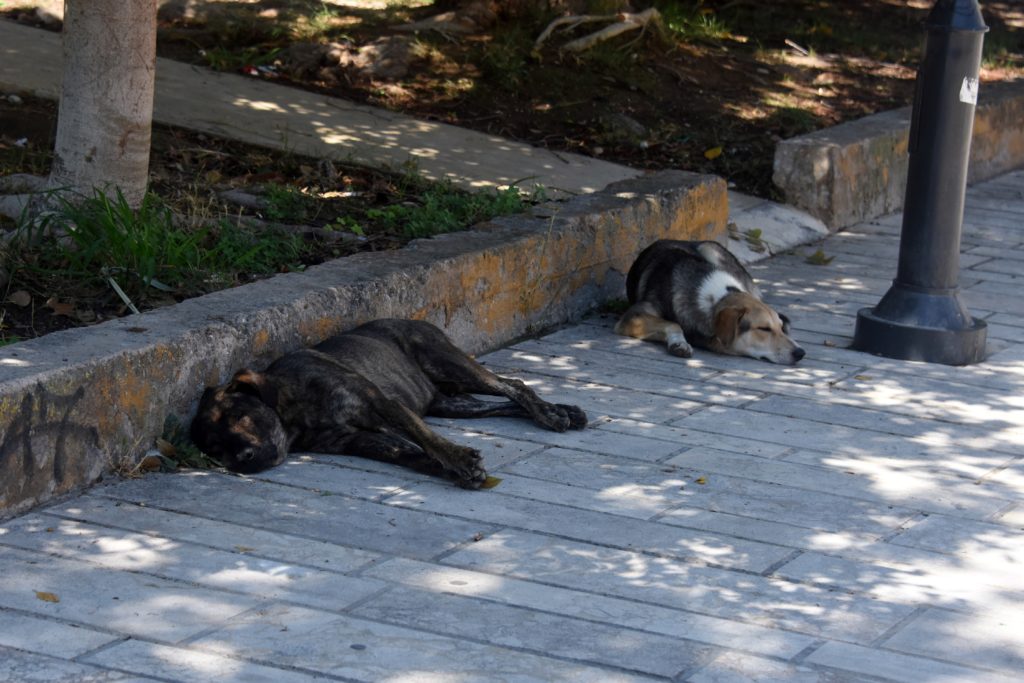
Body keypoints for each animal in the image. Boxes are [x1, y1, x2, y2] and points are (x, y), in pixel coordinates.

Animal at [192, 319, 589, 485]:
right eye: (213, 449)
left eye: (239, 415)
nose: (240, 460)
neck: (293, 412)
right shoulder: (362, 440)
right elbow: (411, 453)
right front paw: (455, 470)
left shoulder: (383, 406)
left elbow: (430, 441)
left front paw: (460, 459)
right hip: (450, 403)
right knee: (501, 402)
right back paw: (566, 411)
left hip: (448, 363)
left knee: (513, 385)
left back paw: (550, 413)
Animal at [610, 241, 802, 366]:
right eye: (764, 329)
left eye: (780, 328)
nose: (801, 353)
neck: (716, 298)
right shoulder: (633, 316)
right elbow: (672, 324)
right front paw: (679, 344)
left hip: (711, 250)